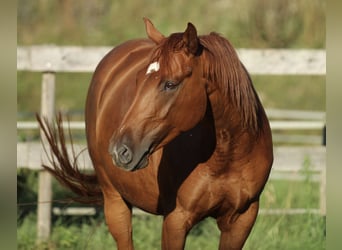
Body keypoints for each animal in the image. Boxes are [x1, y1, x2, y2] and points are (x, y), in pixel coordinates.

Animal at [36, 18, 272, 250]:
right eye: (138, 80)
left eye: (170, 84)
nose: (120, 150)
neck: (228, 156)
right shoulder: (176, 220)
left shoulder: (241, 220)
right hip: (115, 201)